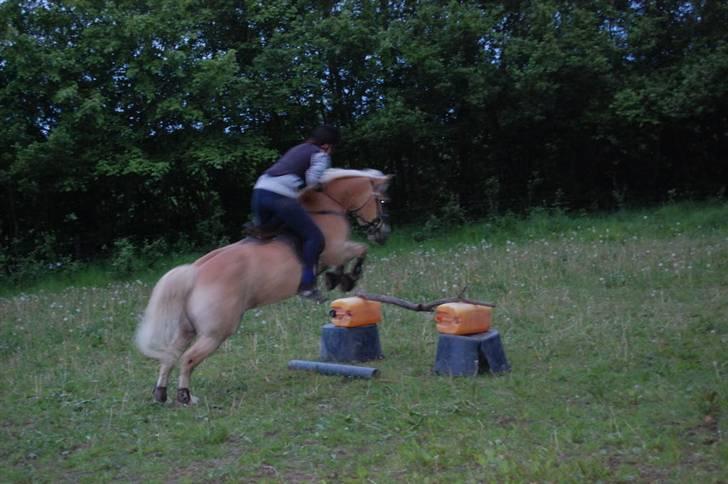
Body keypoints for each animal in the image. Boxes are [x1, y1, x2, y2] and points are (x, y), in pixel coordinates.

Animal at [134, 169, 391, 404]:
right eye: (381, 201)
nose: (382, 234)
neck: (326, 208)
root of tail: (194, 273)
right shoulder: (336, 250)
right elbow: (359, 250)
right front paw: (347, 278)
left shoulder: (336, 253)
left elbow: (348, 258)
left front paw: (336, 278)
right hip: (216, 333)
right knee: (188, 358)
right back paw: (185, 396)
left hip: (186, 329)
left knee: (169, 356)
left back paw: (161, 394)